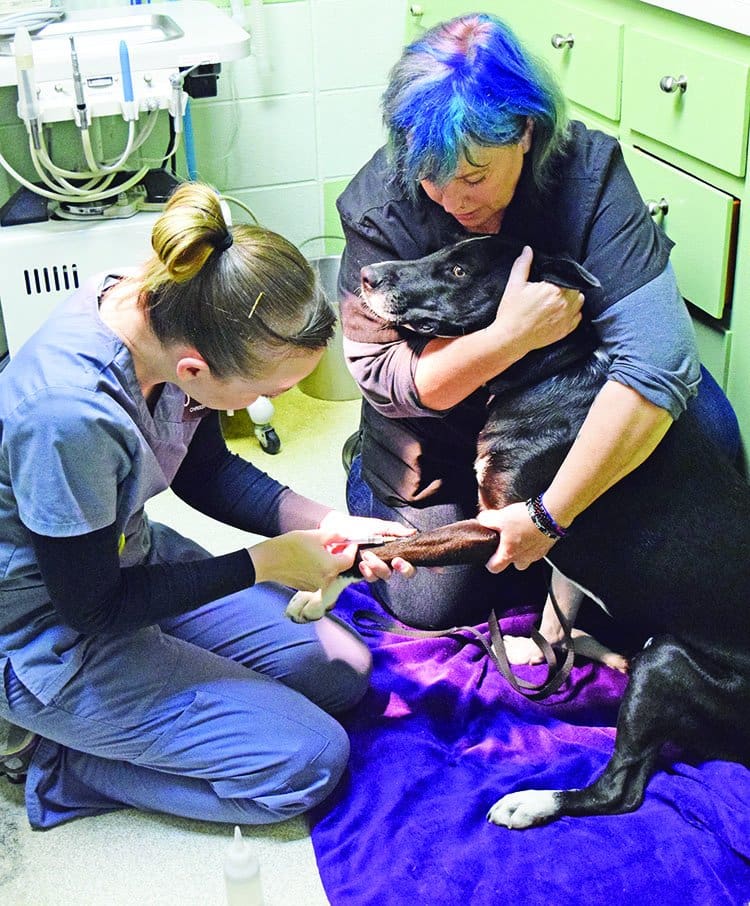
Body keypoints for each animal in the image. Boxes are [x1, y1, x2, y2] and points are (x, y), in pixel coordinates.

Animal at [354, 233, 750, 828]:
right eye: (443, 248)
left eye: (459, 270)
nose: (366, 275)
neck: (549, 374)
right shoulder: (550, 546)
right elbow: (552, 615)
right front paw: (535, 650)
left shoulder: (503, 526)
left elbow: (406, 544)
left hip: (668, 665)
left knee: (621, 789)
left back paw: (533, 802)